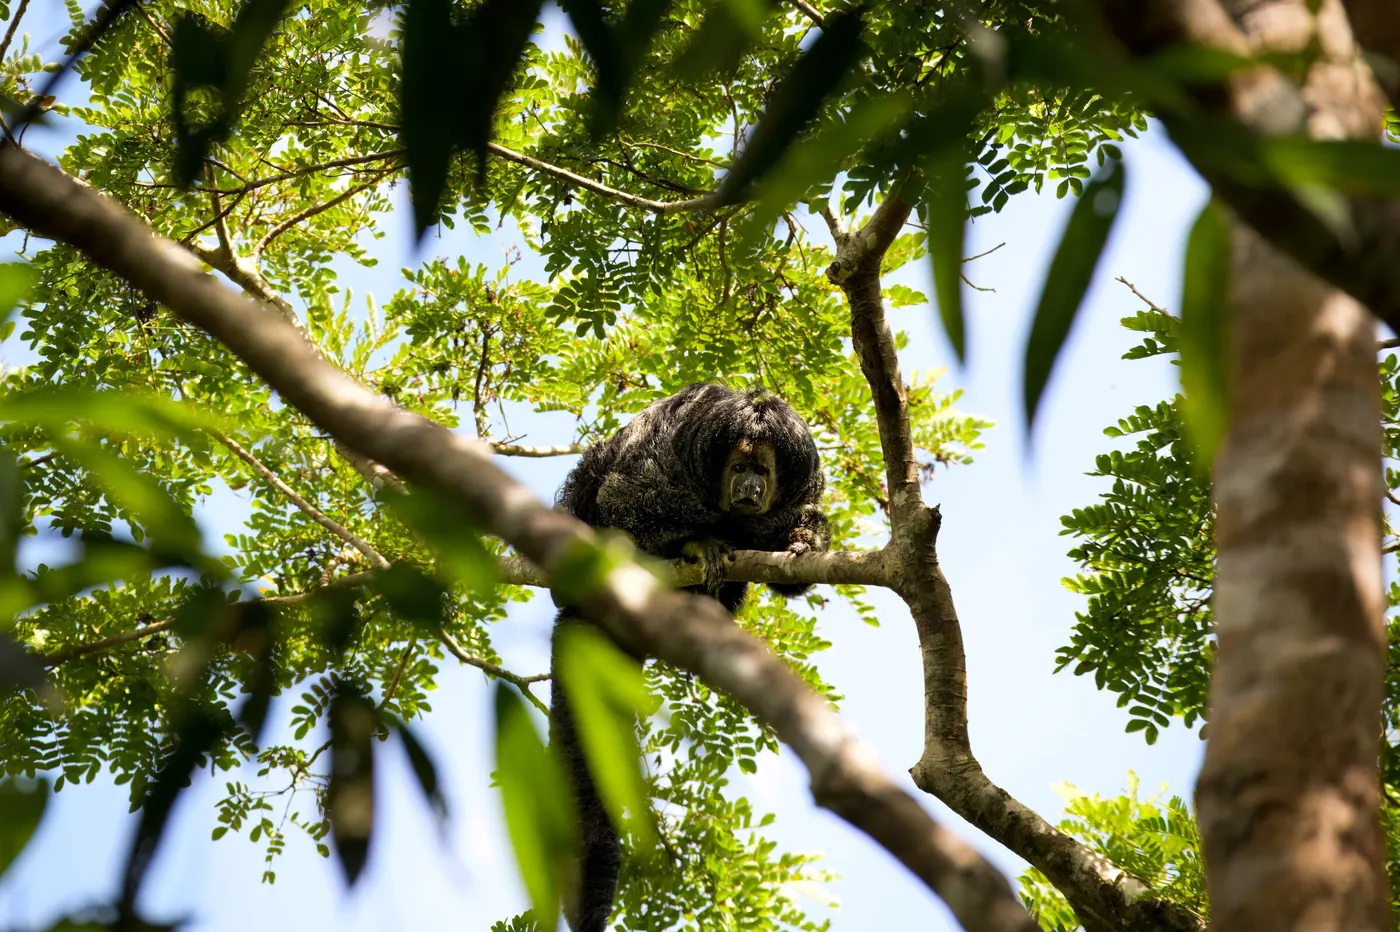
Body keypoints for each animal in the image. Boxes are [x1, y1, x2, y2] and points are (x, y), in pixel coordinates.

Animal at [548, 382, 830, 932]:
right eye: (739, 466)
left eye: (763, 471)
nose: (749, 485)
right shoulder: (674, 445)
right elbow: (626, 497)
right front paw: (699, 541)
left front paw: (805, 538)